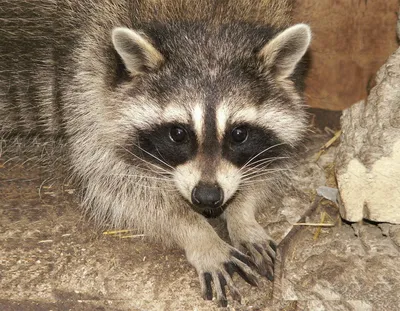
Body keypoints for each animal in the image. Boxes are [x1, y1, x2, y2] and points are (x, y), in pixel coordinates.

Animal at [0, 0, 310, 308]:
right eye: (178, 133)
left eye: (239, 134)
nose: (207, 197)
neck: (210, 21)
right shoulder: (90, 89)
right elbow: (122, 189)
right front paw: (199, 234)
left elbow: (270, 165)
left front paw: (243, 215)